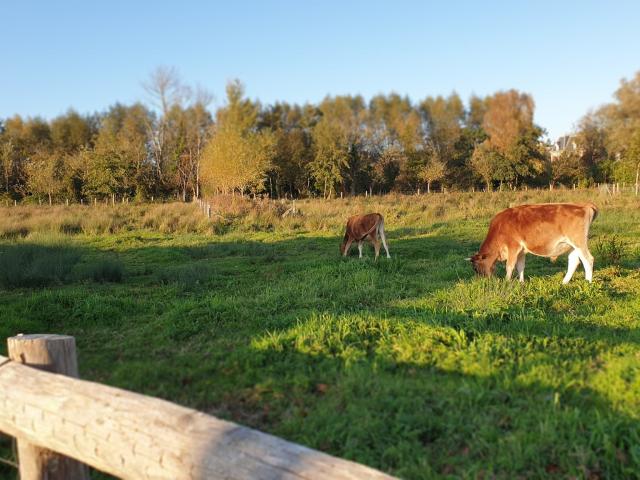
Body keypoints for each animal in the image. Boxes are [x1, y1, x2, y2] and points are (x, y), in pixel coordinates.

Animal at [468, 202, 596, 284]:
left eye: (475, 267)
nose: (482, 281)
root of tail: (584, 206)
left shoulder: (513, 246)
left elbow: (509, 266)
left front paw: (507, 282)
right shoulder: (521, 251)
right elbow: (520, 266)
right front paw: (521, 283)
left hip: (579, 242)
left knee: (588, 260)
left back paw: (588, 282)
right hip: (572, 246)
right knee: (574, 262)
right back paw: (564, 282)